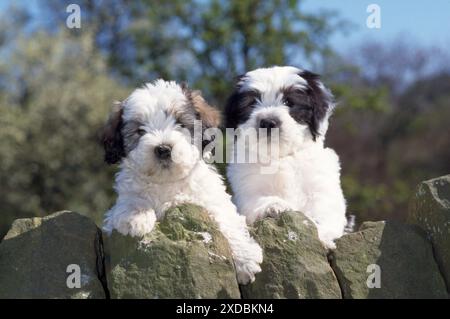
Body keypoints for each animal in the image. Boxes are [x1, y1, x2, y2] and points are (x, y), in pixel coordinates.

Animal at [101, 80, 264, 284]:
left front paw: (245, 259)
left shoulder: (211, 200)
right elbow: (130, 200)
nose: (163, 149)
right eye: (140, 131)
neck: (167, 181)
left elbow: (227, 221)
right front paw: (135, 216)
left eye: (180, 124)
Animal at [225, 65, 348, 250]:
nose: (268, 122)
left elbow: (323, 210)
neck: (281, 156)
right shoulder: (248, 188)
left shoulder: (321, 186)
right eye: (252, 103)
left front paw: (324, 235)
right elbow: (258, 199)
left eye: (290, 102)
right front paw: (274, 206)